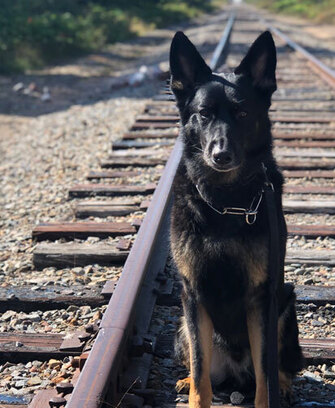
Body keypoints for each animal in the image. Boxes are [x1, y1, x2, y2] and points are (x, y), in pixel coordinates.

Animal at [169, 30, 304, 406]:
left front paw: (271, 393)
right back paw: (186, 379)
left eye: (243, 112)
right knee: (200, 364)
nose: (221, 154)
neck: (226, 203)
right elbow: (201, 369)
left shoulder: (261, 298)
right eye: (203, 113)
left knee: (278, 366)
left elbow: (265, 373)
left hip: (285, 304)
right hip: (182, 327)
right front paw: (195, 392)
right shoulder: (193, 295)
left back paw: (284, 384)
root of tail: (235, 371)